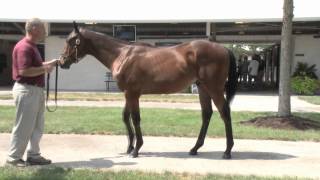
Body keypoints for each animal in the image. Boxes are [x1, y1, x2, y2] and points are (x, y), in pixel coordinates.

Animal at [58, 22, 236, 159]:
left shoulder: (132, 94)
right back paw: (194, 148)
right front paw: (129, 147)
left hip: (214, 88)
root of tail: (224, 48)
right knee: (206, 114)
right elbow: (126, 117)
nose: (62, 62)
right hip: (202, 88)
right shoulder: (128, 94)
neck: (122, 55)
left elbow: (135, 118)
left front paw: (136, 149)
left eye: (71, 41)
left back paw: (227, 151)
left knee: (225, 113)